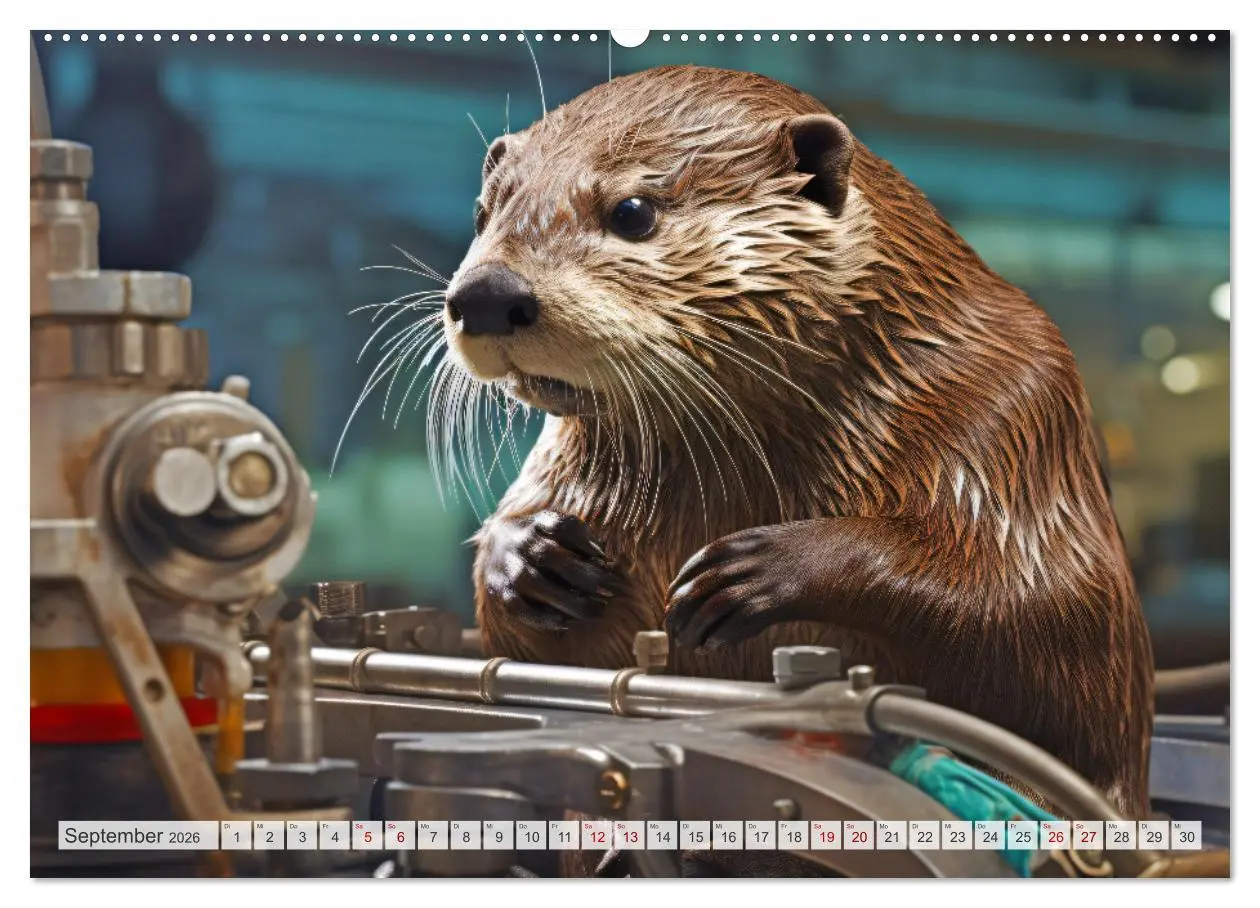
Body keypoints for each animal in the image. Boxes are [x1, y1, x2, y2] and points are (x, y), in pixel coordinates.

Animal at [439, 65, 1153, 819]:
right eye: (484, 212)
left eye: (632, 211)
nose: (486, 294)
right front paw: (528, 555)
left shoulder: (1014, 410)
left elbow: (1044, 610)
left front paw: (761, 569)